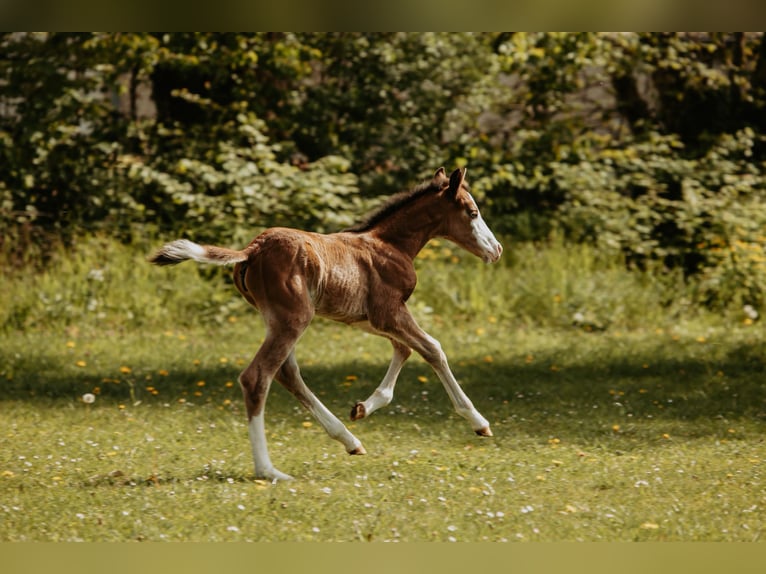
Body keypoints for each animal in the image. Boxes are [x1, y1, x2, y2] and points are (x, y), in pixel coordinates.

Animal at [149, 167, 503, 481]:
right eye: (472, 212)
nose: (497, 250)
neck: (391, 244)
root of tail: (253, 249)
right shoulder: (388, 311)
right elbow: (433, 348)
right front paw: (478, 421)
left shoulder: (366, 318)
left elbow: (404, 349)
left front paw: (363, 408)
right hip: (294, 318)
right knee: (257, 376)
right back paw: (268, 470)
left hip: (278, 319)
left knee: (286, 372)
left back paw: (349, 440)